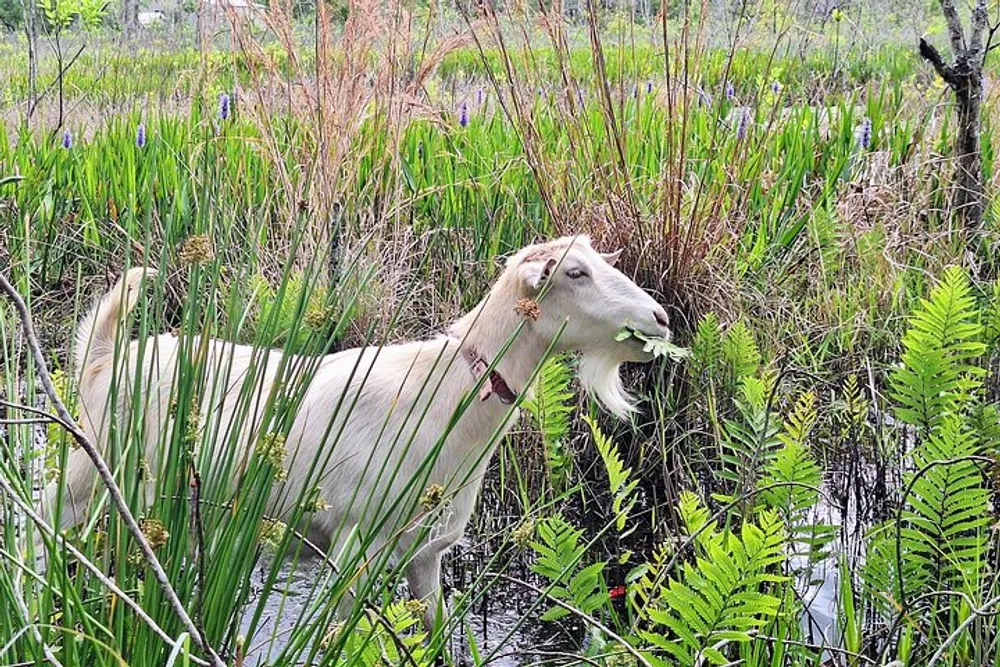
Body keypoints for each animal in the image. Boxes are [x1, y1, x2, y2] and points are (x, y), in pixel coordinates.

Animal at [47, 236, 672, 632]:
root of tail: (101, 357)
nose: (661, 320)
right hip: (83, 482)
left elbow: (434, 633)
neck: (445, 392)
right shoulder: (354, 544)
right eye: (574, 273)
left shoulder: (426, 553)